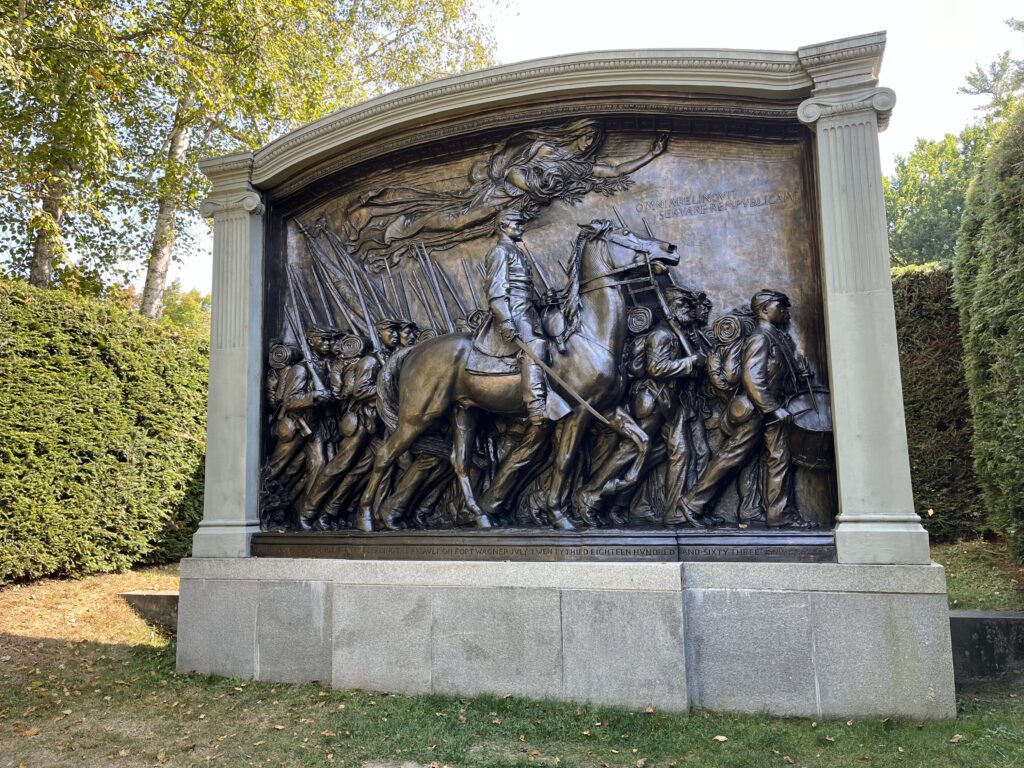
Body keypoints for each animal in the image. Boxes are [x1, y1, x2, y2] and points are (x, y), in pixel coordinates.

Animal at [354, 219, 679, 532]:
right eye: (625, 232)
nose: (671, 248)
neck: (589, 333)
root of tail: (413, 351)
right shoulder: (579, 413)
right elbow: (565, 461)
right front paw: (559, 515)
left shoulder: (608, 408)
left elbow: (641, 442)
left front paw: (609, 488)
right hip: (418, 415)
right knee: (385, 455)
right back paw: (368, 517)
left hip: (464, 412)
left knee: (460, 461)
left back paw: (479, 516)